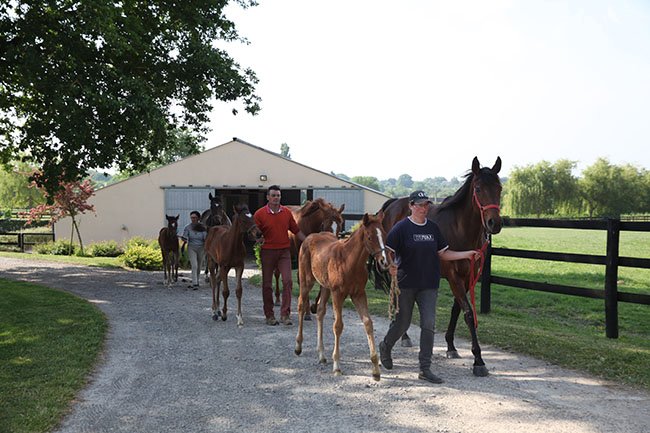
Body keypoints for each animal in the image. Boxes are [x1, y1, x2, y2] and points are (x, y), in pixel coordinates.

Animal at [294, 212, 390, 381]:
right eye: (370, 237)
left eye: (384, 235)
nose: (383, 261)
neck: (349, 261)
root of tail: (310, 236)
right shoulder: (338, 294)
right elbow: (338, 326)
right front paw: (337, 366)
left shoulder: (359, 294)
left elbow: (368, 323)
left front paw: (375, 369)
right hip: (307, 281)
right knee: (301, 305)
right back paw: (298, 346)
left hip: (325, 287)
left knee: (320, 311)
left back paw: (322, 354)